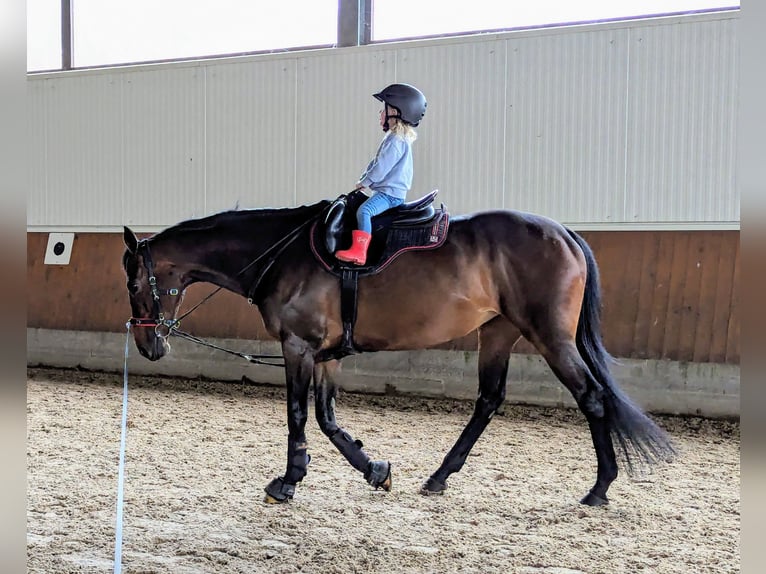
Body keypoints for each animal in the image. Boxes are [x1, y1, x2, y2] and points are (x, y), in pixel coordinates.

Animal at [121, 199, 680, 508]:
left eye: (132, 284)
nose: (149, 345)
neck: (282, 255)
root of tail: (563, 233)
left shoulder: (299, 347)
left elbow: (299, 415)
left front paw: (288, 481)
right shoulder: (327, 354)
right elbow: (327, 418)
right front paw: (374, 469)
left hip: (549, 336)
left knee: (592, 397)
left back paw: (600, 487)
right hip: (499, 332)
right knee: (488, 400)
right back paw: (440, 476)